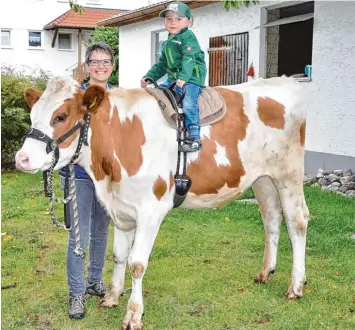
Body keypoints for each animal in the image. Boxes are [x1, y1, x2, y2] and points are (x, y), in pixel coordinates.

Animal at [15, 75, 308, 330]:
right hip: (263, 179)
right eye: (32, 116)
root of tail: (282, 81)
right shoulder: (120, 209)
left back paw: (296, 286)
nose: (22, 158)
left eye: (61, 116)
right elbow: (119, 255)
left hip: (289, 175)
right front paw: (112, 297)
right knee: (271, 218)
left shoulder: (150, 210)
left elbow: (137, 263)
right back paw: (265, 272)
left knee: (297, 222)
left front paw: (133, 315)